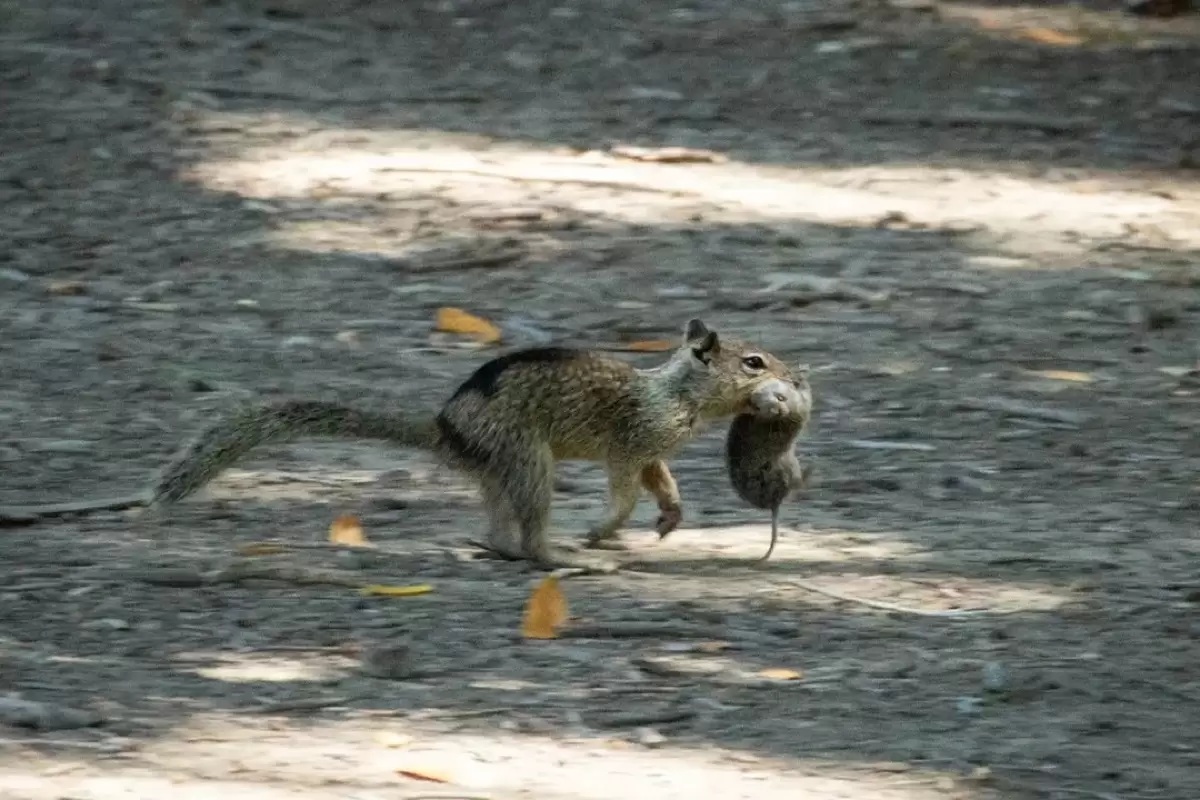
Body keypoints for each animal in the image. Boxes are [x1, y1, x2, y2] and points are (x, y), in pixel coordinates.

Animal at [119, 316, 806, 573]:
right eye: (753, 362)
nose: (798, 378)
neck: (678, 394)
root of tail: (446, 430)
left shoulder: (653, 452)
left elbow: (663, 481)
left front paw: (671, 516)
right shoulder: (630, 442)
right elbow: (624, 491)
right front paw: (605, 529)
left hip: (503, 471)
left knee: (501, 532)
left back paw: (498, 546)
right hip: (528, 460)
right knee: (530, 538)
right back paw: (570, 557)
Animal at [720, 369, 816, 563]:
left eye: (780, 397)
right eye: (758, 406)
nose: (778, 410)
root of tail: (773, 503)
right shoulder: (799, 408)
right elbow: (806, 397)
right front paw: (800, 379)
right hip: (787, 467)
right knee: (797, 485)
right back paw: (812, 469)